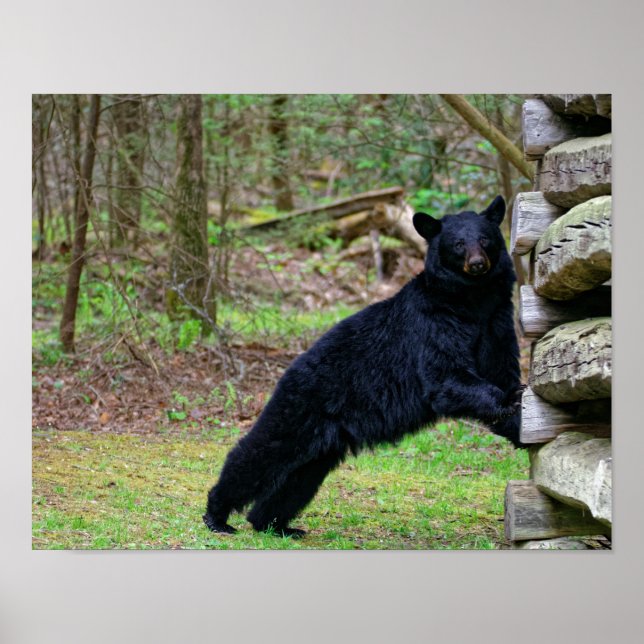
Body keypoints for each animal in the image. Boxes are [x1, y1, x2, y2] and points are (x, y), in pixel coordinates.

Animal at [203, 195, 523, 538]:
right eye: (459, 244)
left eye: (485, 239)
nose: (477, 263)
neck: (473, 301)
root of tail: (290, 369)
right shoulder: (434, 324)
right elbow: (445, 378)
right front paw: (510, 400)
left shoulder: (497, 323)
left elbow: (499, 372)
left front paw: (519, 420)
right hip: (300, 408)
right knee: (263, 450)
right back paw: (217, 515)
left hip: (322, 442)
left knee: (299, 477)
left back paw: (272, 525)